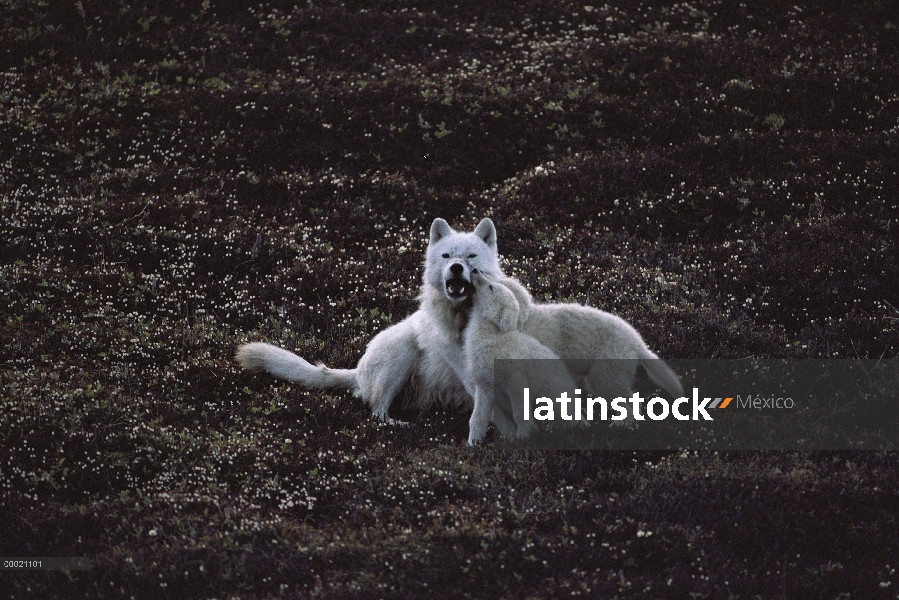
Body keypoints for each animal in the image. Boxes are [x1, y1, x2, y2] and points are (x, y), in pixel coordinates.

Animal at [236, 218, 502, 420]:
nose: (456, 267)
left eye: (471, 256)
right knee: (377, 412)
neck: (461, 316)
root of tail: (357, 371)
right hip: (403, 348)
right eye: (447, 256)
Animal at [464, 272, 576, 446]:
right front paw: (473, 443)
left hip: (552, 390)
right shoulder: (485, 385)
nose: (475, 270)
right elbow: (478, 418)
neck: (494, 337)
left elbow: (519, 413)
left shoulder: (516, 379)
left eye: (491, 287)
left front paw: (523, 437)